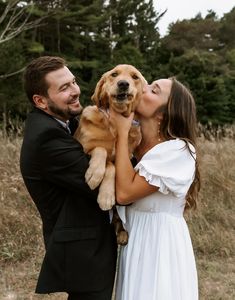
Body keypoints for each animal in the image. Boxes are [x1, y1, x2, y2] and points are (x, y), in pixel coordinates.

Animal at [74, 65, 146, 241]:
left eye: (135, 77)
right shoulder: (84, 146)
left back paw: (122, 233)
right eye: (114, 74)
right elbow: (101, 151)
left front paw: (106, 196)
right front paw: (95, 176)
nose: (123, 84)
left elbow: (112, 167)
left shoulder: (124, 157)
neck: (114, 124)